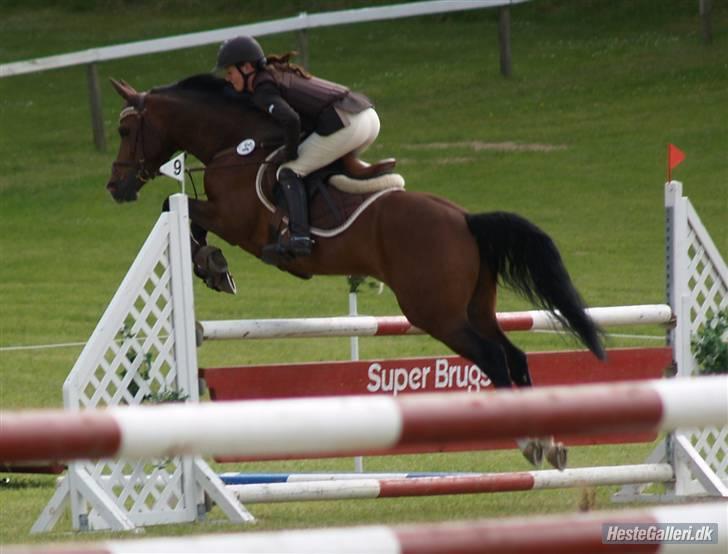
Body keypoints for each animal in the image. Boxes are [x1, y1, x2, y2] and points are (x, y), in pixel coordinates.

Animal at [106, 75, 604, 468]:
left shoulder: (235, 220)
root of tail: (465, 220)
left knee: (495, 358)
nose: (115, 186)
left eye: (126, 129)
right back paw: (549, 443)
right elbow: (181, 211)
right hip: (475, 307)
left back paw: (529, 442)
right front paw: (212, 267)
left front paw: (212, 265)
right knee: (515, 355)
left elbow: (181, 209)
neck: (236, 147)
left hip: (437, 314)